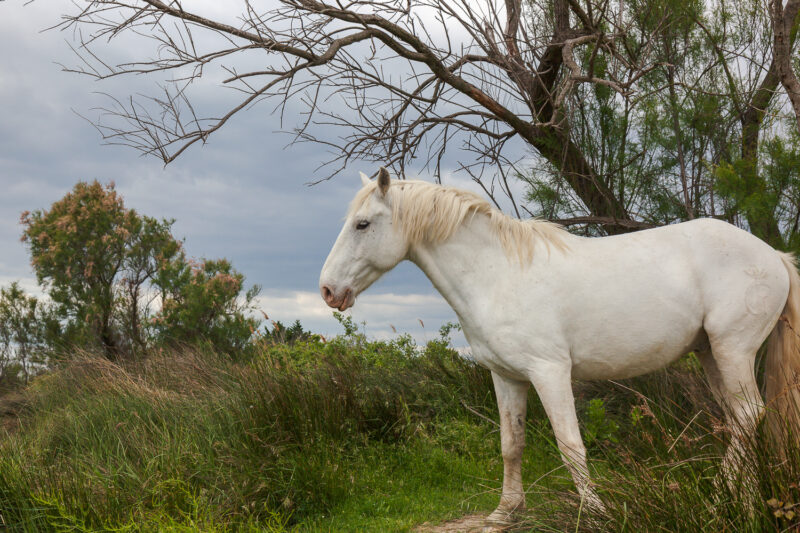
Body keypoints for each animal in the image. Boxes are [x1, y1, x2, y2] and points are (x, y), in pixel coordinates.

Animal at [318, 168, 800, 520]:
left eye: (363, 224)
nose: (327, 291)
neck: (497, 274)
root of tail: (774, 256)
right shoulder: (507, 377)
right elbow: (511, 444)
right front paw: (505, 512)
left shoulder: (549, 372)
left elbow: (570, 445)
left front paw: (596, 512)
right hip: (711, 354)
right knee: (743, 421)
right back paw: (744, 501)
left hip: (733, 350)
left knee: (747, 416)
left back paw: (721, 500)